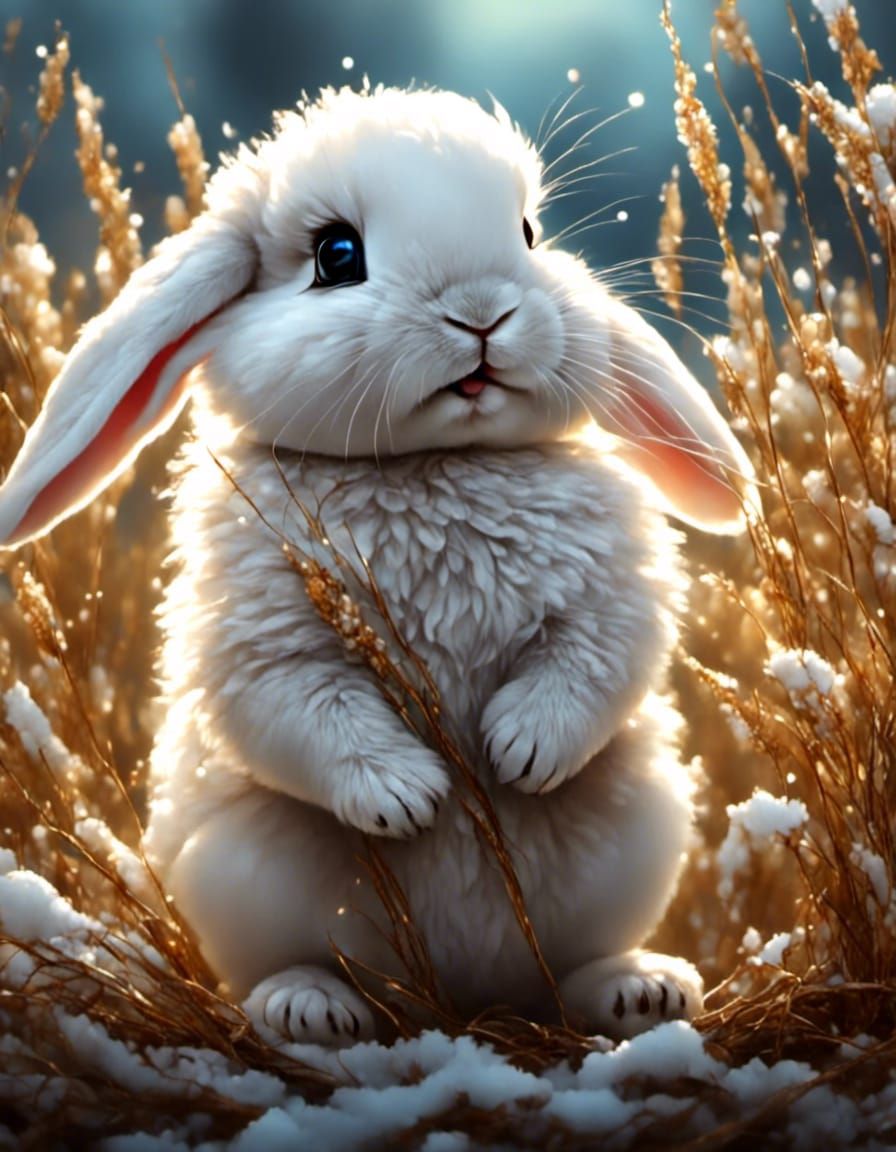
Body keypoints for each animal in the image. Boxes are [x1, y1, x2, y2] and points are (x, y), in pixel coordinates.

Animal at [0, 86, 756, 1048]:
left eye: (528, 232)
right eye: (337, 256)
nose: (482, 311)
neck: (430, 463)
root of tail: (469, 998)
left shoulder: (612, 597)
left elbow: (596, 665)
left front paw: (519, 752)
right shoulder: (261, 635)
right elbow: (306, 707)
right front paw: (411, 796)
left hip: (637, 842)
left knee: (573, 973)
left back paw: (643, 991)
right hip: (243, 877)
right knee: (282, 967)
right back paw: (312, 1007)